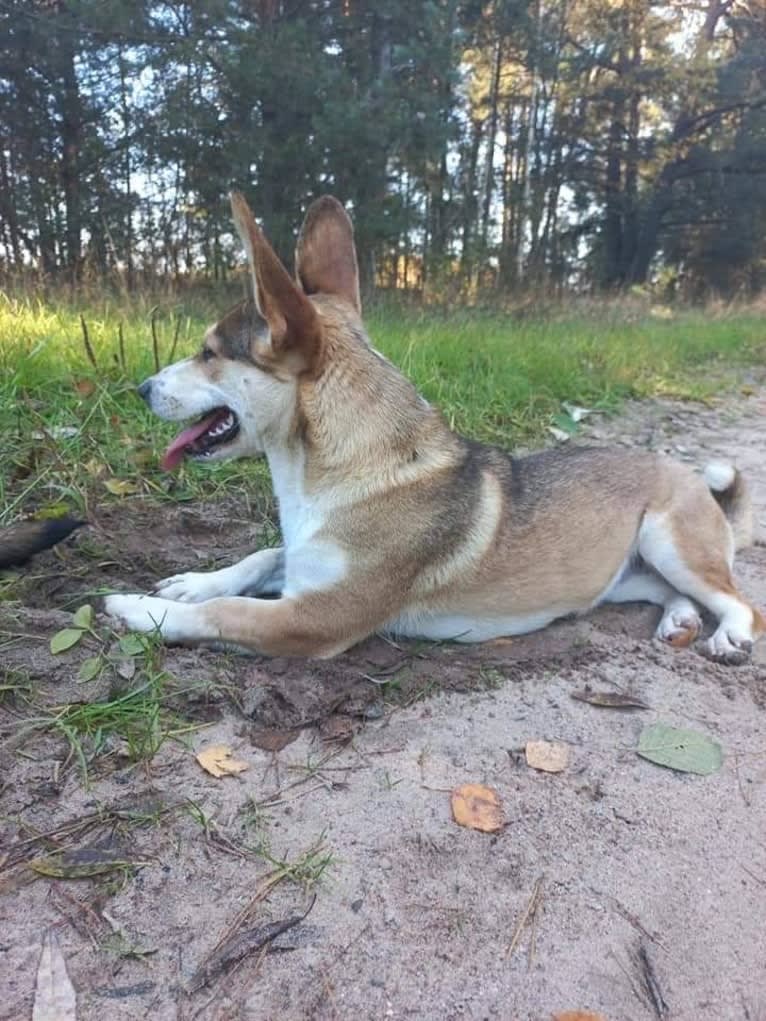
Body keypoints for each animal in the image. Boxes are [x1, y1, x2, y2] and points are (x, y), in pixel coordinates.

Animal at [103, 191, 763, 665]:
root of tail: (690, 479)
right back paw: (678, 617)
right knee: (672, 593)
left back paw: (727, 634)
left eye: (209, 353)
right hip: (622, 575)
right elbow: (260, 557)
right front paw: (192, 583)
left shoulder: (313, 618)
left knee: (739, 601)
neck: (349, 469)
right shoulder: (302, 569)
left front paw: (137, 610)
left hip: (670, 542)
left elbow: (226, 612)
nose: (139, 389)